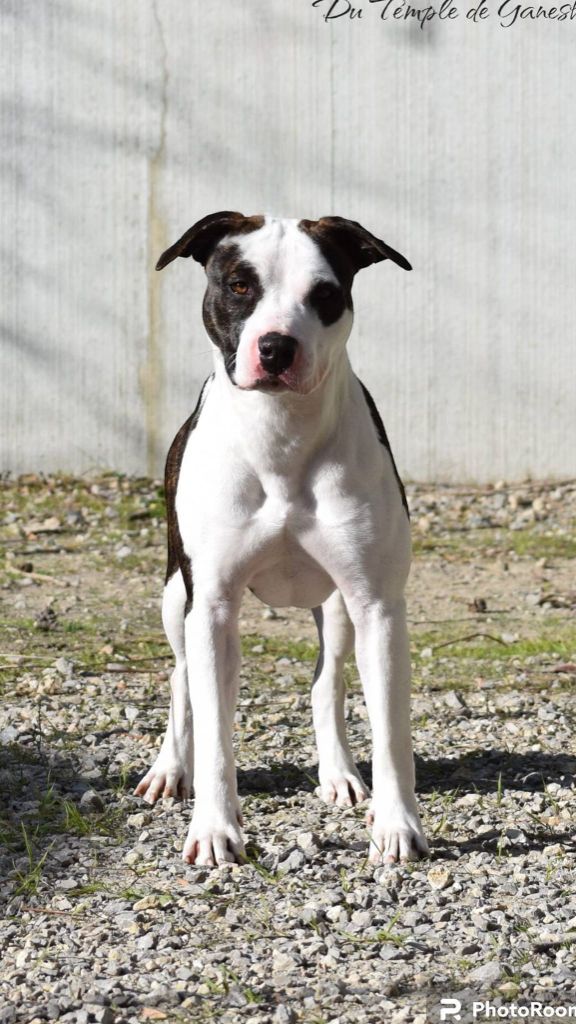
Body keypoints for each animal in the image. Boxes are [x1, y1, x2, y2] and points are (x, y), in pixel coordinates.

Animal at [134, 211, 428, 868]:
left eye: (324, 294)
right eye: (240, 285)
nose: (276, 347)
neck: (281, 436)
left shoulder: (379, 607)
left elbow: (390, 730)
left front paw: (396, 825)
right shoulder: (211, 604)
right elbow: (215, 729)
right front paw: (215, 830)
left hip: (338, 608)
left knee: (328, 681)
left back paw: (341, 775)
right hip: (174, 597)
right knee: (181, 678)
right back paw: (170, 768)